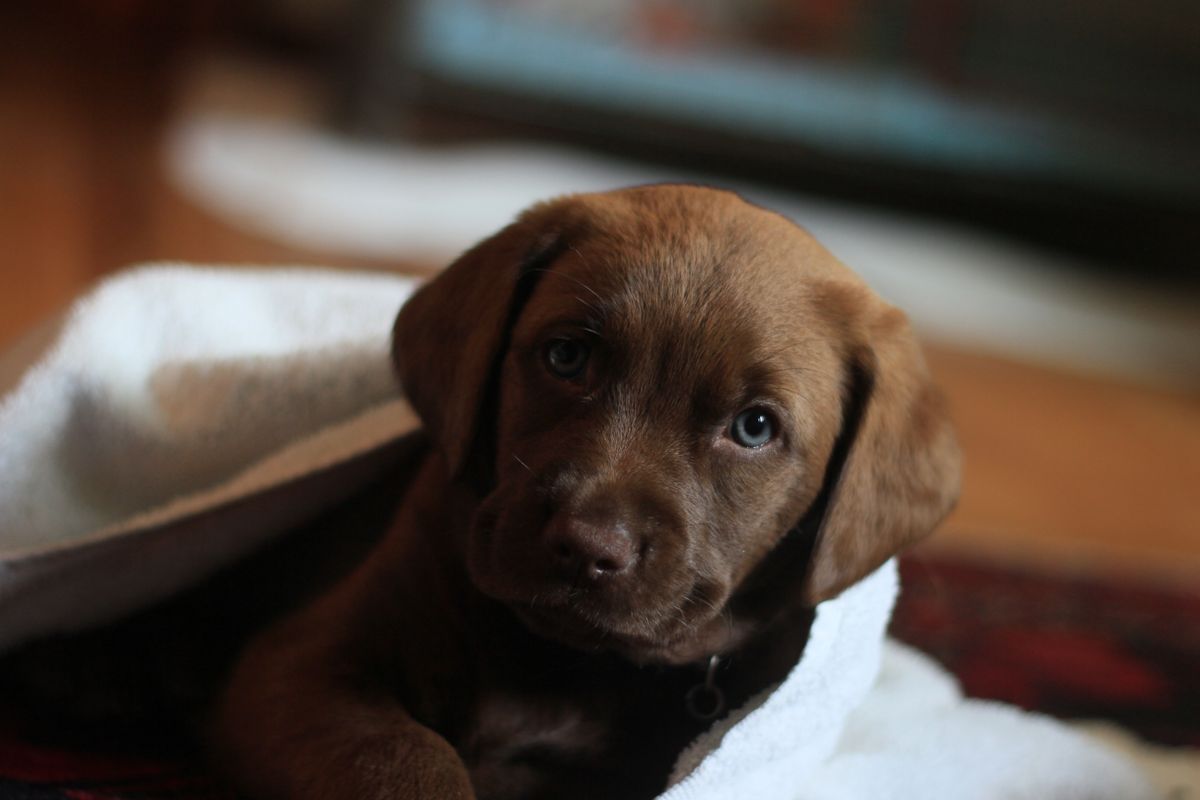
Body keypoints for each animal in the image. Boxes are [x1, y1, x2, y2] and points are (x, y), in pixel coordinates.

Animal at [211, 185, 960, 800]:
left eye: (754, 427)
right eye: (566, 356)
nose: (585, 547)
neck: (566, 662)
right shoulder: (302, 663)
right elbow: (407, 756)